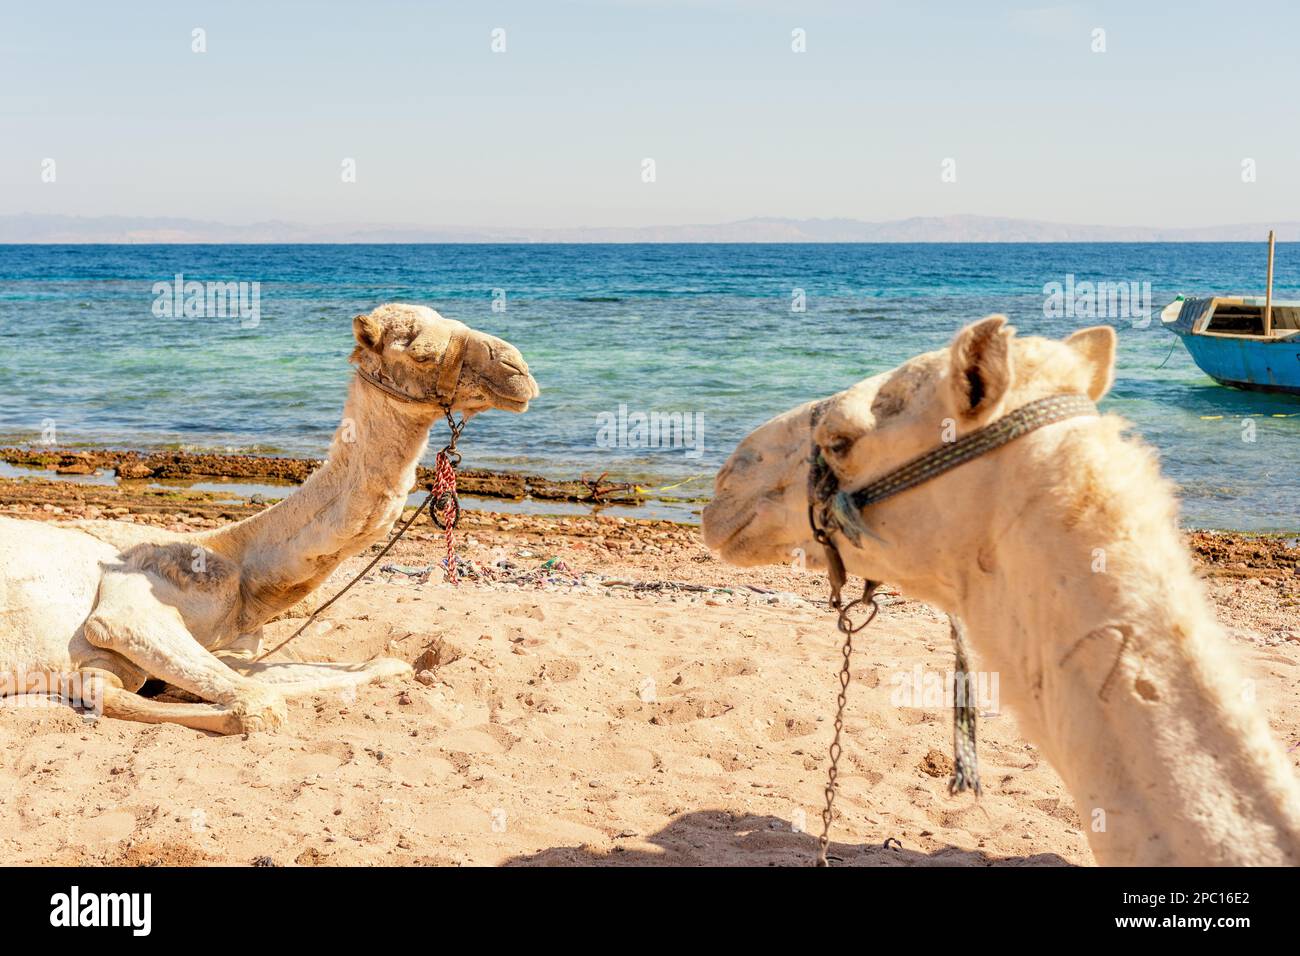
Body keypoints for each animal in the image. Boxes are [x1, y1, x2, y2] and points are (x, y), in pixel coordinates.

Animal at [0, 304, 538, 733]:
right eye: (422, 352)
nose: (519, 368)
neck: (237, 566)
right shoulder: (127, 611)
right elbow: (259, 702)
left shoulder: (234, 646)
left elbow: (378, 665)